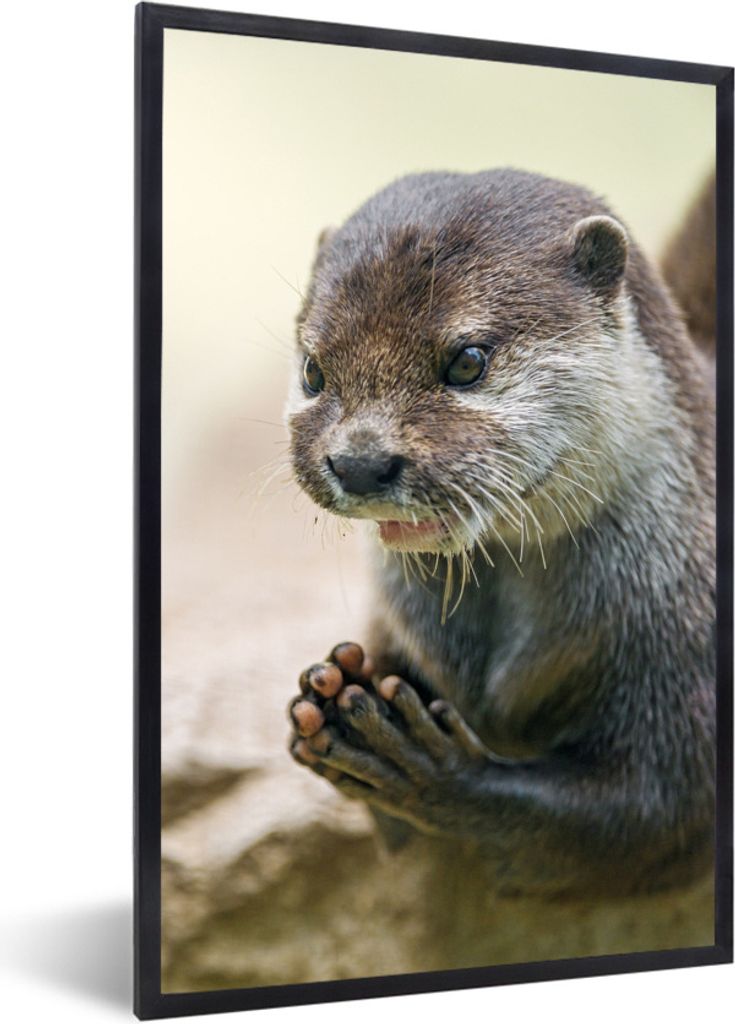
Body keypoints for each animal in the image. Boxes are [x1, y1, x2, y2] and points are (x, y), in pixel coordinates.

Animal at [285, 169, 715, 897]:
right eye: (313, 370)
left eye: (466, 361)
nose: (360, 462)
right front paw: (330, 692)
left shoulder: (689, 658)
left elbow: (652, 813)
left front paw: (431, 772)